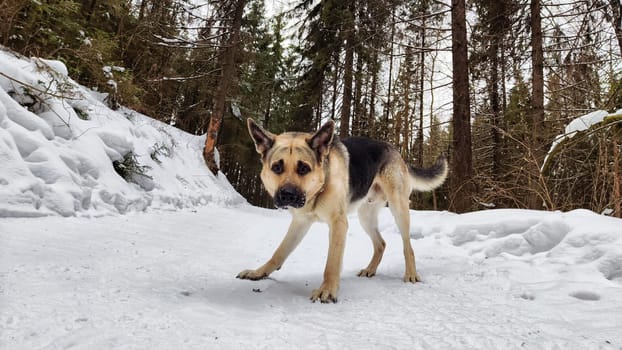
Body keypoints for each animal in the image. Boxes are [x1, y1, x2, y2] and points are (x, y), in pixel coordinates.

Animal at [239, 119, 448, 302]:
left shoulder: (338, 224)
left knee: (407, 246)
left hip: (399, 208)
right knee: (381, 243)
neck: (320, 187)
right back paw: (370, 269)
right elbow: (279, 252)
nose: (287, 195)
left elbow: (331, 263)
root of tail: (395, 151)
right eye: (277, 167)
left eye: (303, 168)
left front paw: (327, 290)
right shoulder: (300, 223)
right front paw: (259, 273)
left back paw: (411, 273)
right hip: (366, 216)